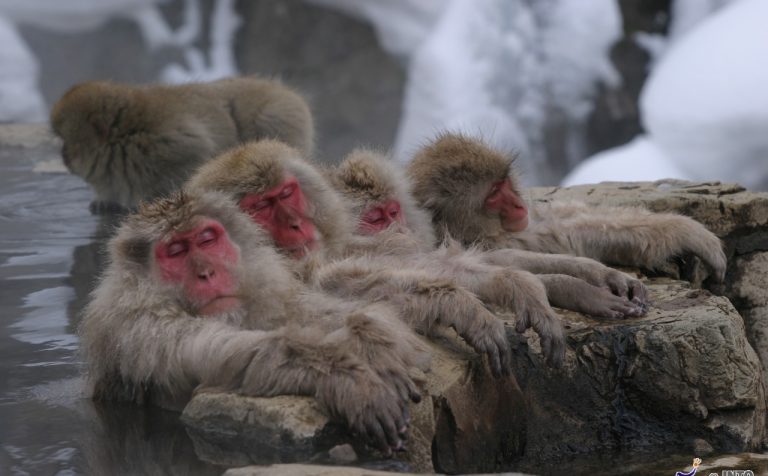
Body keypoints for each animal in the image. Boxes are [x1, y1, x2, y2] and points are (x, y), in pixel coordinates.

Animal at [51, 76, 314, 212]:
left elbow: (196, 154)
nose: (63, 157)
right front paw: (106, 201)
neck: (126, 138)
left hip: (278, 116)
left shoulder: (171, 144)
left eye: (65, 141)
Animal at [78, 190, 428, 454]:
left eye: (207, 240)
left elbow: (312, 310)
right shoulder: (140, 328)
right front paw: (347, 377)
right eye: (176, 251)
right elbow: (218, 353)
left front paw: (372, 340)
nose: (207, 273)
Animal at [185, 140, 563, 369]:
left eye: (287, 193)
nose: (295, 223)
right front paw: (457, 305)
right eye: (261, 206)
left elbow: (413, 262)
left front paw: (515, 285)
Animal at [330, 148, 649, 320]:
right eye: (375, 219)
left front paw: (596, 274)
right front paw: (578, 291)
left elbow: (493, 259)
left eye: (392, 212)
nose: (400, 228)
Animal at [407, 132, 727, 284]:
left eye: (503, 182)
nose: (518, 204)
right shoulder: (490, 241)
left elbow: (566, 228)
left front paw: (686, 230)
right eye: (494, 195)